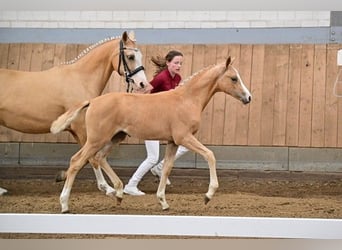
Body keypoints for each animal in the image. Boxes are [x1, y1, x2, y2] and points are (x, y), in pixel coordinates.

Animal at [0, 30, 150, 195]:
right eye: (130, 56)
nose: (143, 84)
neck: (81, 78)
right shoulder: (82, 128)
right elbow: (92, 157)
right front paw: (106, 188)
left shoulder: (77, 130)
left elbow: (87, 158)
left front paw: (62, 176)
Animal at [50, 56, 251, 213]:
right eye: (234, 78)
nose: (248, 98)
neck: (187, 99)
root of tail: (92, 101)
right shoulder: (184, 137)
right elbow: (210, 155)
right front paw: (208, 195)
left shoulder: (173, 142)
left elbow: (167, 167)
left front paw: (163, 202)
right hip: (96, 139)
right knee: (77, 161)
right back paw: (65, 204)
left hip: (115, 138)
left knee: (99, 158)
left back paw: (119, 193)